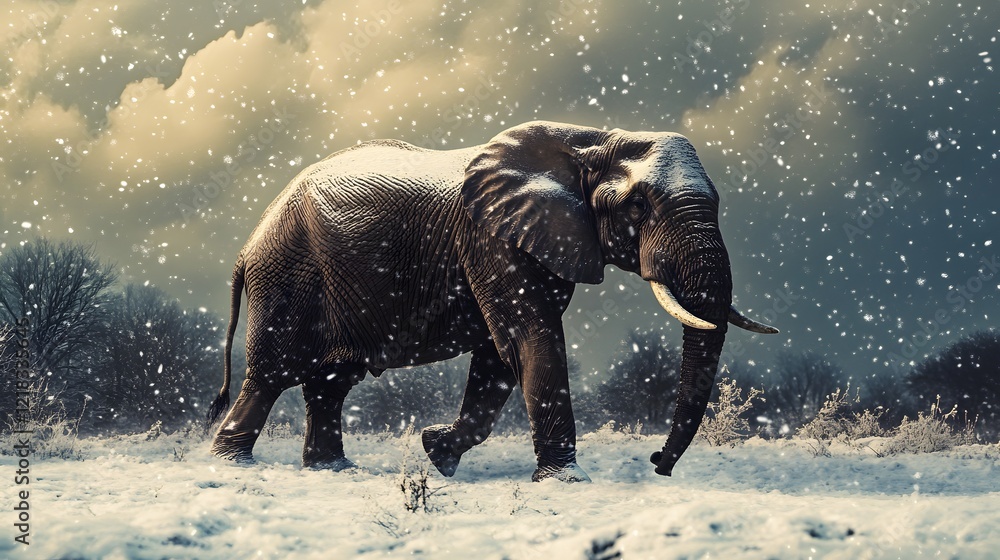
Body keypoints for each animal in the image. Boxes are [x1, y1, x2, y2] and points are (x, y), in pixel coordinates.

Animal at [206, 120, 778, 481]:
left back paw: (333, 469)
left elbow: (499, 358)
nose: (658, 461)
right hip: (287, 275)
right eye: (638, 206)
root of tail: (246, 247)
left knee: (330, 382)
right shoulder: (490, 237)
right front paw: (565, 481)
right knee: (271, 376)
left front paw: (437, 452)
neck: (597, 139)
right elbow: (531, 340)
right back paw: (231, 463)